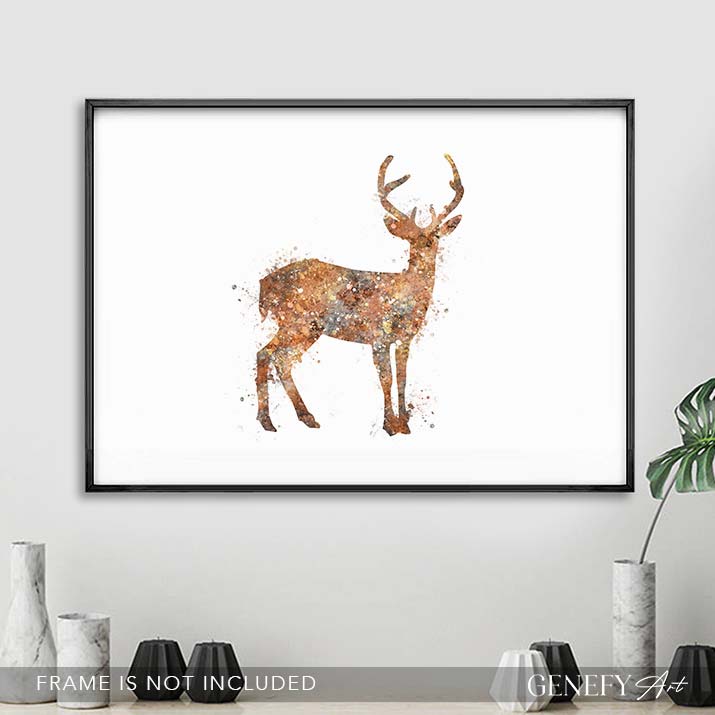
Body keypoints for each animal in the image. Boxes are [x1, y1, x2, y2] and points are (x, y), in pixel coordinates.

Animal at [256, 154, 464, 436]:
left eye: (435, 235)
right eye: (409, 238)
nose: (425, 245)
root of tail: (264, 284)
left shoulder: (406, 338)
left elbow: (402, 377)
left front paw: (405, 424)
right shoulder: (378, 335)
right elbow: (386, 378)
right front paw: (389, 425)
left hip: (308, 328)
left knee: (282, 360)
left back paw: (307, 418)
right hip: (296, 321)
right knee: (265, 353)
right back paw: (267, 421)